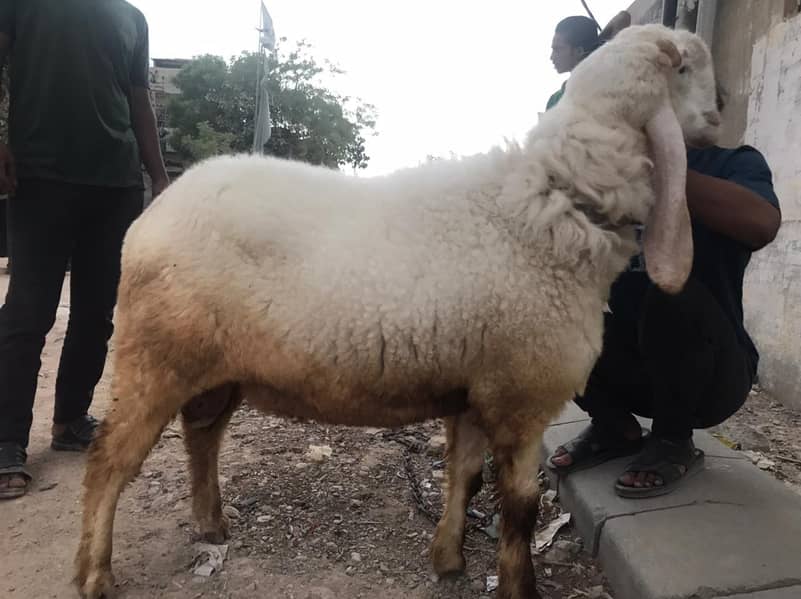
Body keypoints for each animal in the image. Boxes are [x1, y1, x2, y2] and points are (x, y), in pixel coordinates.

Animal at [75, 24, 721, 599]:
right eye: (687, 67)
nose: (720, 117)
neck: (553, 205)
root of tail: (154, 213)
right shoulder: (520, 395)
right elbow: (520, 507)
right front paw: (519, 588)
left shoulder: (475, 388)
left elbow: (464, 477)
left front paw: (449, 560)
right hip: (155, 356)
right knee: (109, 461)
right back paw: (95, 574)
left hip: (216, 368)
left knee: (201, 437)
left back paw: (211, 524)